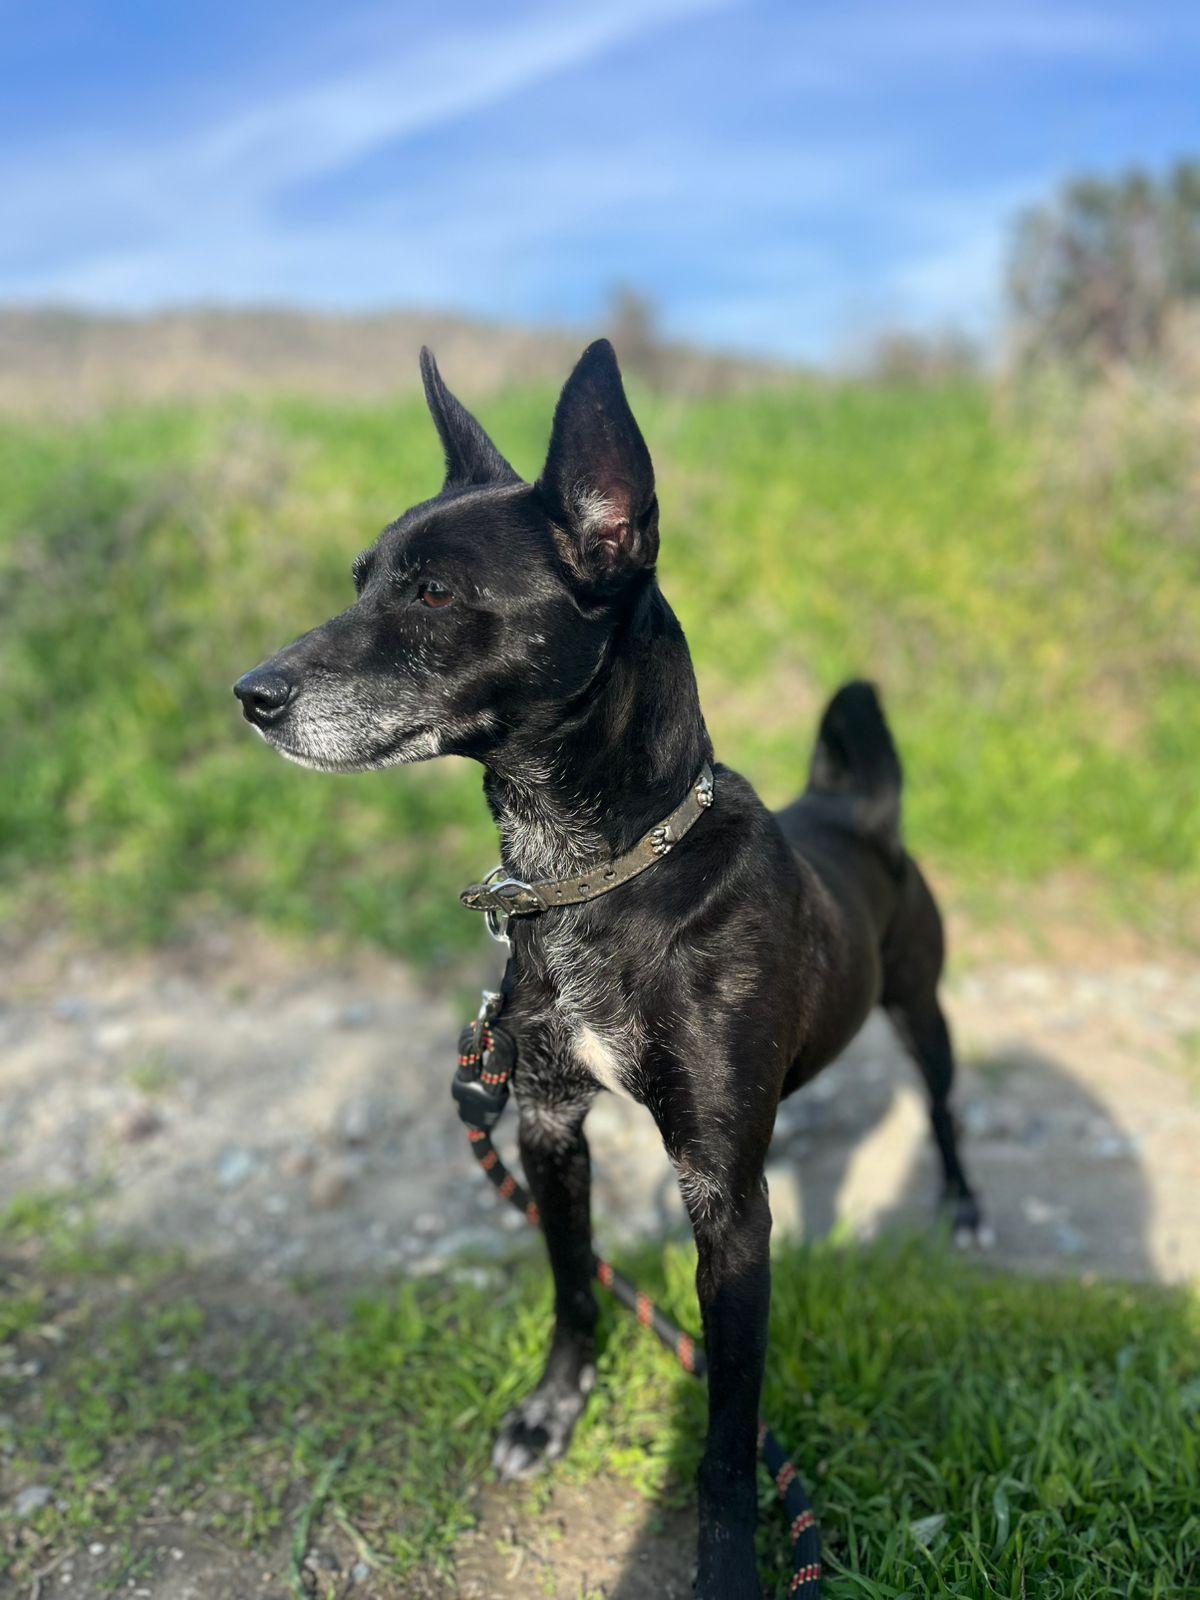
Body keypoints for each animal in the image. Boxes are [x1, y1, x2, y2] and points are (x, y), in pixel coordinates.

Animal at [234, 339, 984, 1599]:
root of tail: (854, 804)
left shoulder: (725, 1203)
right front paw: (552, 1409)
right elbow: (576, 1286)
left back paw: (968, 1206)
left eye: (433, 595)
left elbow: (728, 1431)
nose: (251, 694)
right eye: (360, 579)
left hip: (921, 1006)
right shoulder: (545, 1123)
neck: (599, 875)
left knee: (940, 1104)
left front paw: (728, 1561)